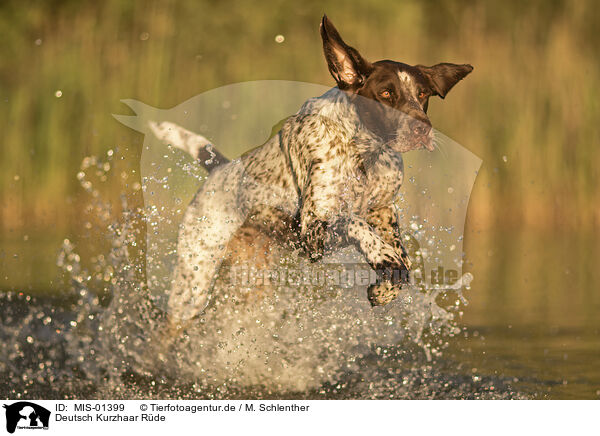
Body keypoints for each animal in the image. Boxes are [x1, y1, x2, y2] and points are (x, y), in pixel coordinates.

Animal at [155, 16, 474, 330]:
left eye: (422, 94)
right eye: (385, 93)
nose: (423, 128)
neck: (363, 151)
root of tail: (219, 168)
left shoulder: (384, 209)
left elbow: (401, 259)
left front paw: (385, 286)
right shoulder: (311, 232)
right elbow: (353, 222)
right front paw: (380, 253)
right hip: (192, 285)